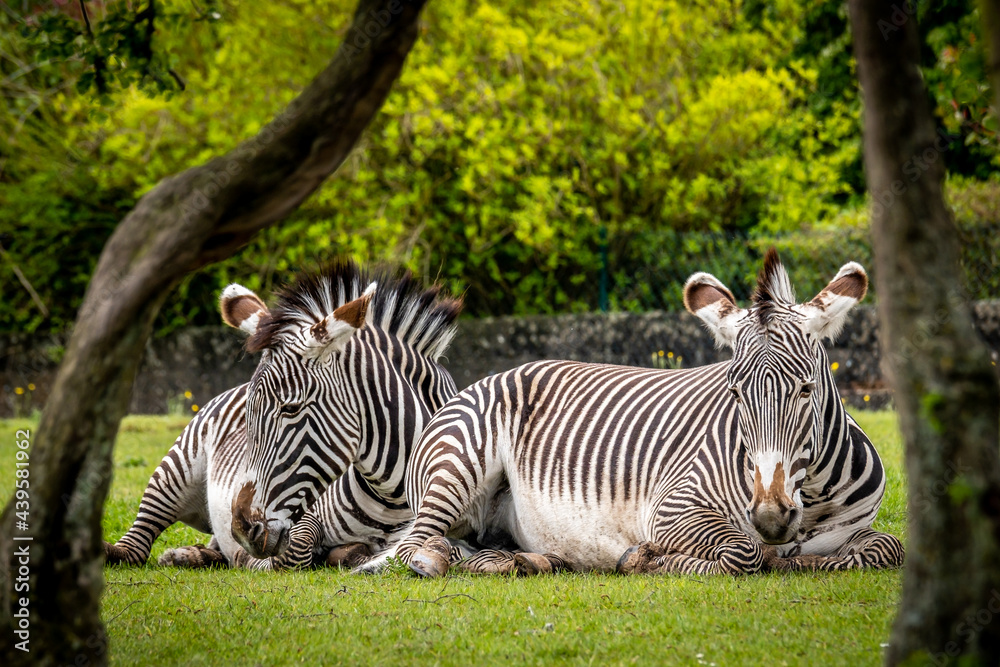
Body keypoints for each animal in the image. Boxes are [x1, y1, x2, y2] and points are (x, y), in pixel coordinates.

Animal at [103, 262, 462, 569]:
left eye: (291, 408)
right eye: (247, 414)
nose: (241, 530)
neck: (390, 500)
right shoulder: (303, 518)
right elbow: (294, 553)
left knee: (215, 543)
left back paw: (194, 554)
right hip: (177, 466)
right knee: (140, 537)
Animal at [365, 249, 904, 577]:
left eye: (806, 389)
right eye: (734, 393)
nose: (771, 517)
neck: (814, 496)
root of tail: (480, 381)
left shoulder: (854, 529)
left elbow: (885, 548)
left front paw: (806, 561)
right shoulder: (674, 508)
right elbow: (744, 552)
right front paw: (648, 560)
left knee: (467, 549)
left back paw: (524, 562)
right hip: (457, 464)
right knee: (419, 546)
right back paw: (444, 560)